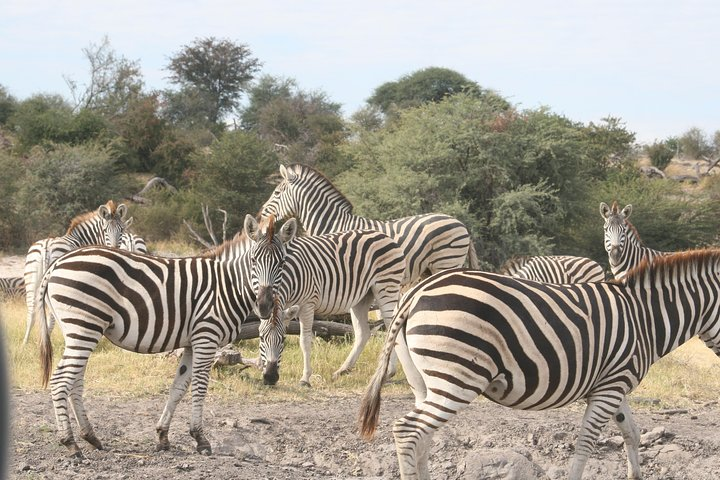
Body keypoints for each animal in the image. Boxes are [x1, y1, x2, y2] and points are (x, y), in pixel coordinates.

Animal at [23, 200, 135, 344]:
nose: (115, 249)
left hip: (32, 279)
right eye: (105, 230)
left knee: (31, 311)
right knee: (52, 314)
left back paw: (26, 343)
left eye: (121, 230)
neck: (81, 239)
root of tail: (46, 245)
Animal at [36, 214, 295, 457]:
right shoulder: (206, 337)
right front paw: (201, 439)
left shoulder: (191, 343)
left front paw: (163, 436)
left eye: (281, 263)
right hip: (84, 326)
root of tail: (57, 264)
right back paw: (70, 443)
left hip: (79, 330)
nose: (264, 306)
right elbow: (199, 387)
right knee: (60, 380)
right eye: (253, 260)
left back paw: (91, 437)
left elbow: (178, 388)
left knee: (75, 381)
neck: (227, 286)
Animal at [252, 218, 407, 387]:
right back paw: (343, 370)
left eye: (283, 339)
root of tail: (385, 236)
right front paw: (260, 366)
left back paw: (388, 373)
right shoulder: (285, 309)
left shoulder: (308, 304)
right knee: (363, 333)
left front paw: (305, 378)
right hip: (363, 297)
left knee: (392, 327)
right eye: (261, 338)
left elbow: (305, 340)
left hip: (387, 287)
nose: (270, 378)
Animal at [260, 163, 479, 286]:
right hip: (432, 268)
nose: (261, 216)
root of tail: (461, 223)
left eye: (277, 193)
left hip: (446, 261)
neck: (333, 225)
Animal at [358, 249, 720, 480]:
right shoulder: (610, 387)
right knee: (408, 430)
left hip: (425, 381)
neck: (644, 318)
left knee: (423, 435)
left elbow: (631, 432)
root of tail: (416, 292)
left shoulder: (614, 384)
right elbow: (586, 442)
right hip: (457, 378)